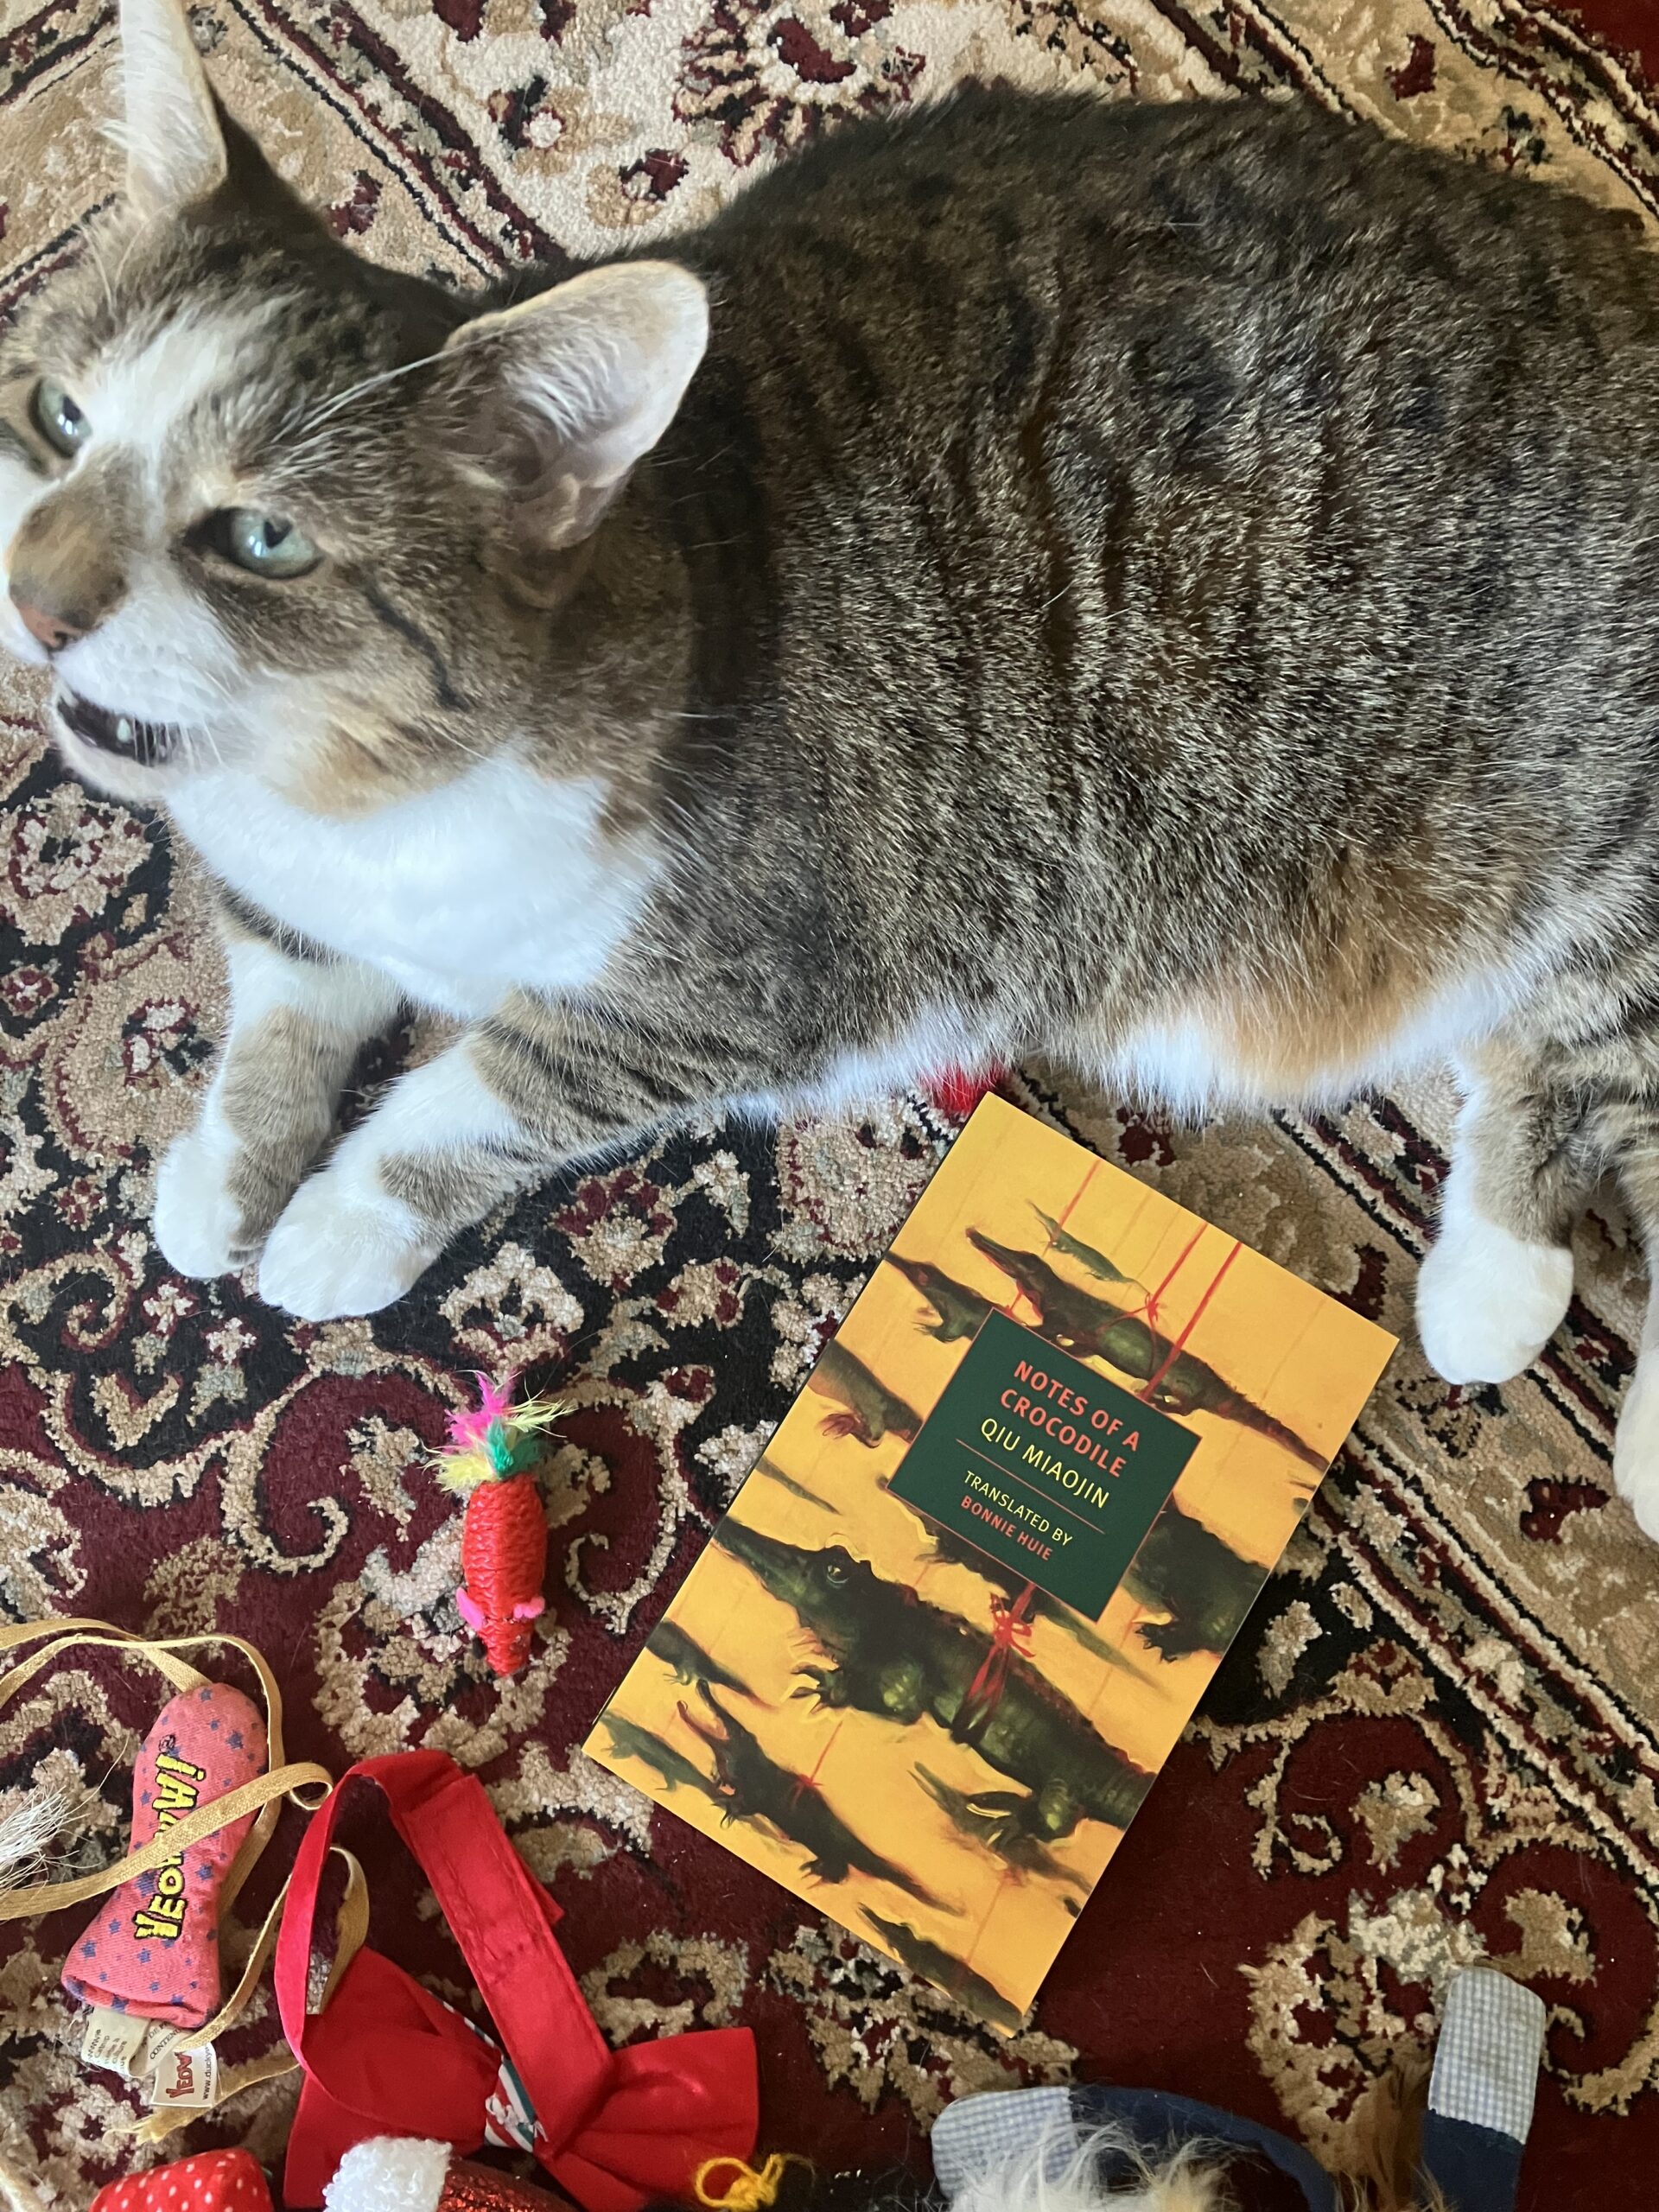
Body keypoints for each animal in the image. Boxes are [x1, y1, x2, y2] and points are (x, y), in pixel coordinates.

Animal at [3, 0, 1659, 1522]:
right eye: (56, 415)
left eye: (261, 538)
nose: (36, 596)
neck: (344, 802)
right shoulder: (294, 904)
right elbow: (281, 1007)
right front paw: (223, 1171)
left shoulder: (733, 997)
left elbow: (484, 1088)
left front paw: (338, 1219)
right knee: (1533, 1066)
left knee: (1595, 1069)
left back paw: (1560, 1363)